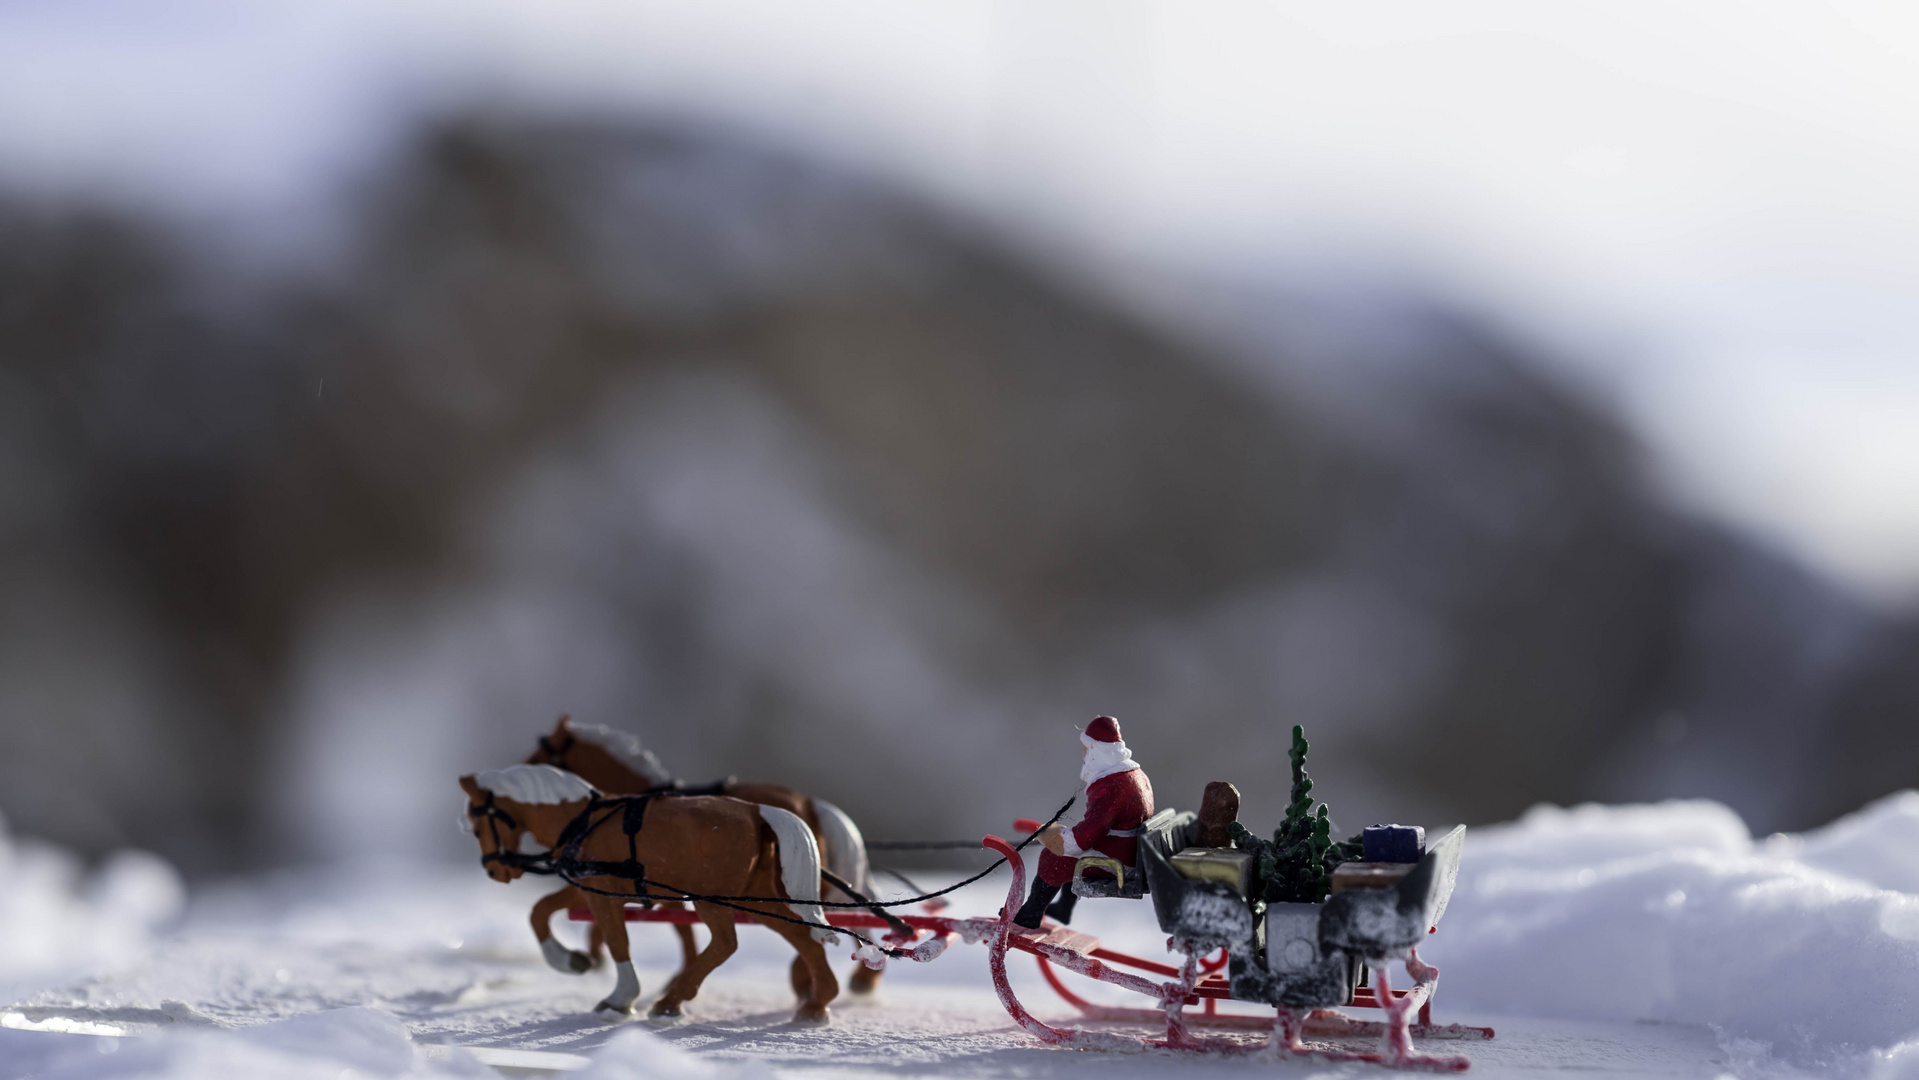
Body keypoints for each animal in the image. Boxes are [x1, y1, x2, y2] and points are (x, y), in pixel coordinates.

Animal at [460, 767, 844, 1020]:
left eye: (477, 826)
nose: (495, 871)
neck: (582, 821)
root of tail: (757, 811)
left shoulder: (602, 893)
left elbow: (617, 941)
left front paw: (620, 999)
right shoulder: (587, 889)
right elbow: (539, 911)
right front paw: (571, 960)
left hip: (712, 901)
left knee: (725, 944)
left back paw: (672, 1000)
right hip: (757, 897)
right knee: (801, 937)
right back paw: (817, 1004)